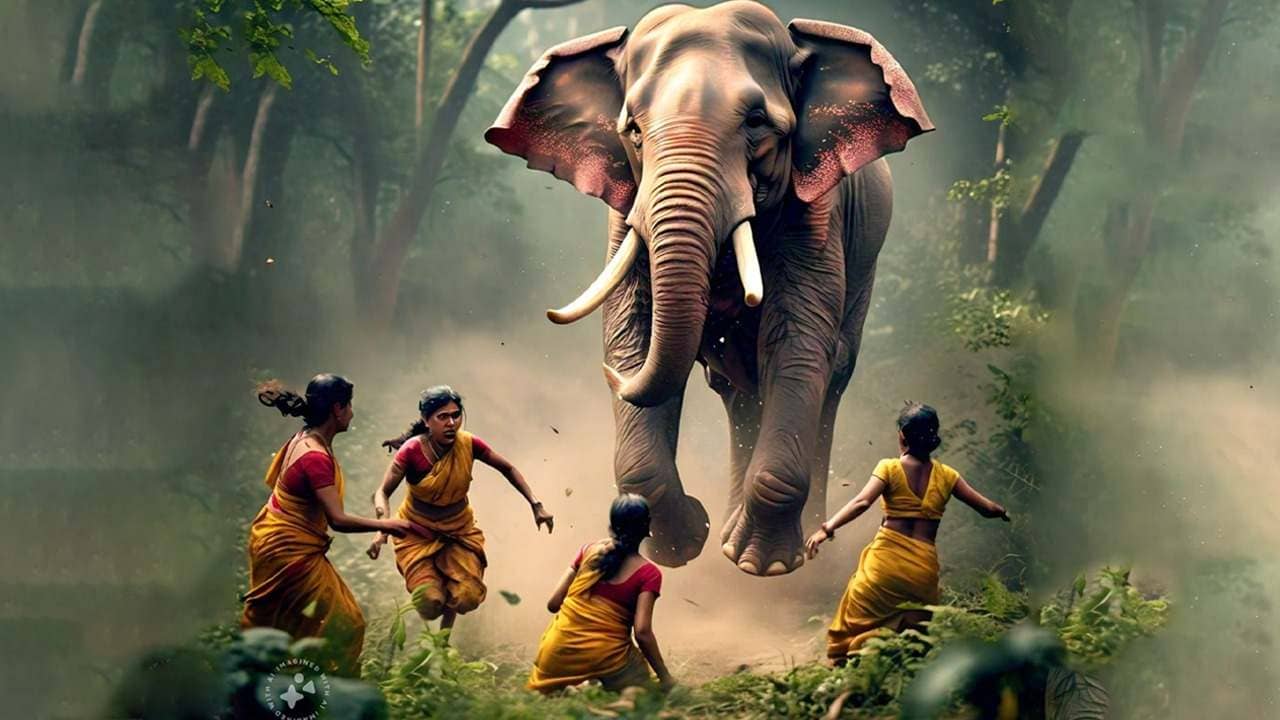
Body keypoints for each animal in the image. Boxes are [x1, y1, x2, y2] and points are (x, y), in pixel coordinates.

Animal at [485, 1, 932, 576]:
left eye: (757, 122)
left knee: (830, 375)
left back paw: (776, 553)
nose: (608, 378)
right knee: (739, 393)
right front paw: (682, 545)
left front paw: (765, 567)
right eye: (633, 130)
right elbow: (632, 335)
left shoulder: (817, 212)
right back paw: (724, 535)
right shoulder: (626, 207)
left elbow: (797, 343)